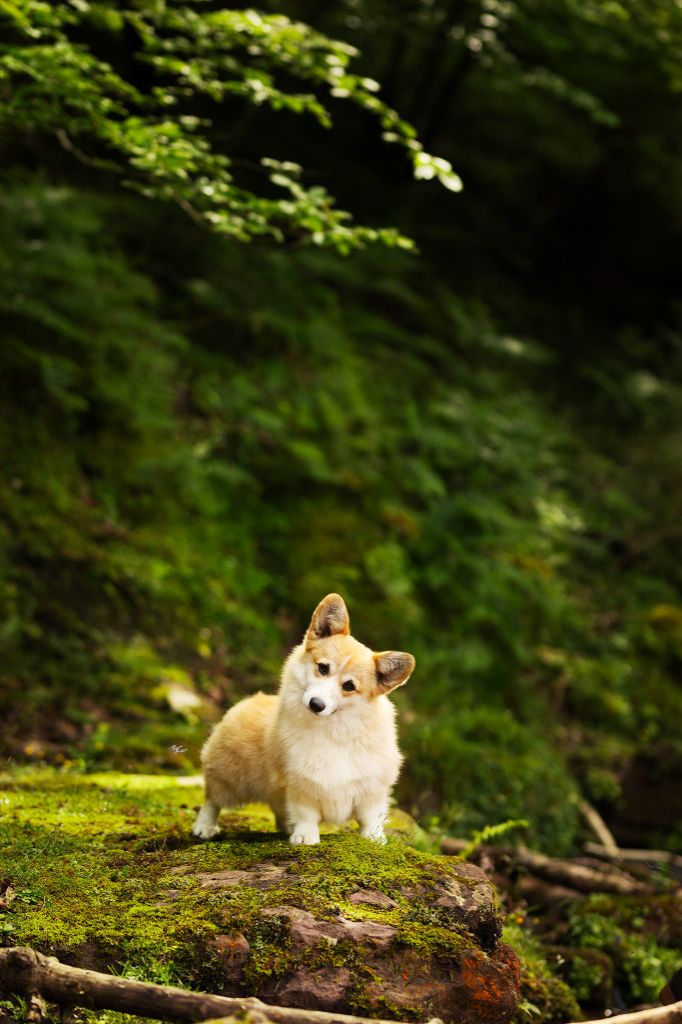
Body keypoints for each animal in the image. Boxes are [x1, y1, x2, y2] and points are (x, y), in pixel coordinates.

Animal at [192, 593, 413, 847]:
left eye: (349, 686)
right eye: (323, 668)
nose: (316, 704)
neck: (334, 730)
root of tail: (248, 701)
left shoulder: (373, 788)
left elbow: (371, 818)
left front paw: (375, 840)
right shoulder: (300, 783)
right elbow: (306, 813)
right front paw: (306, 836)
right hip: (228, 777)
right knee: (212, 800)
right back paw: (204, 826)